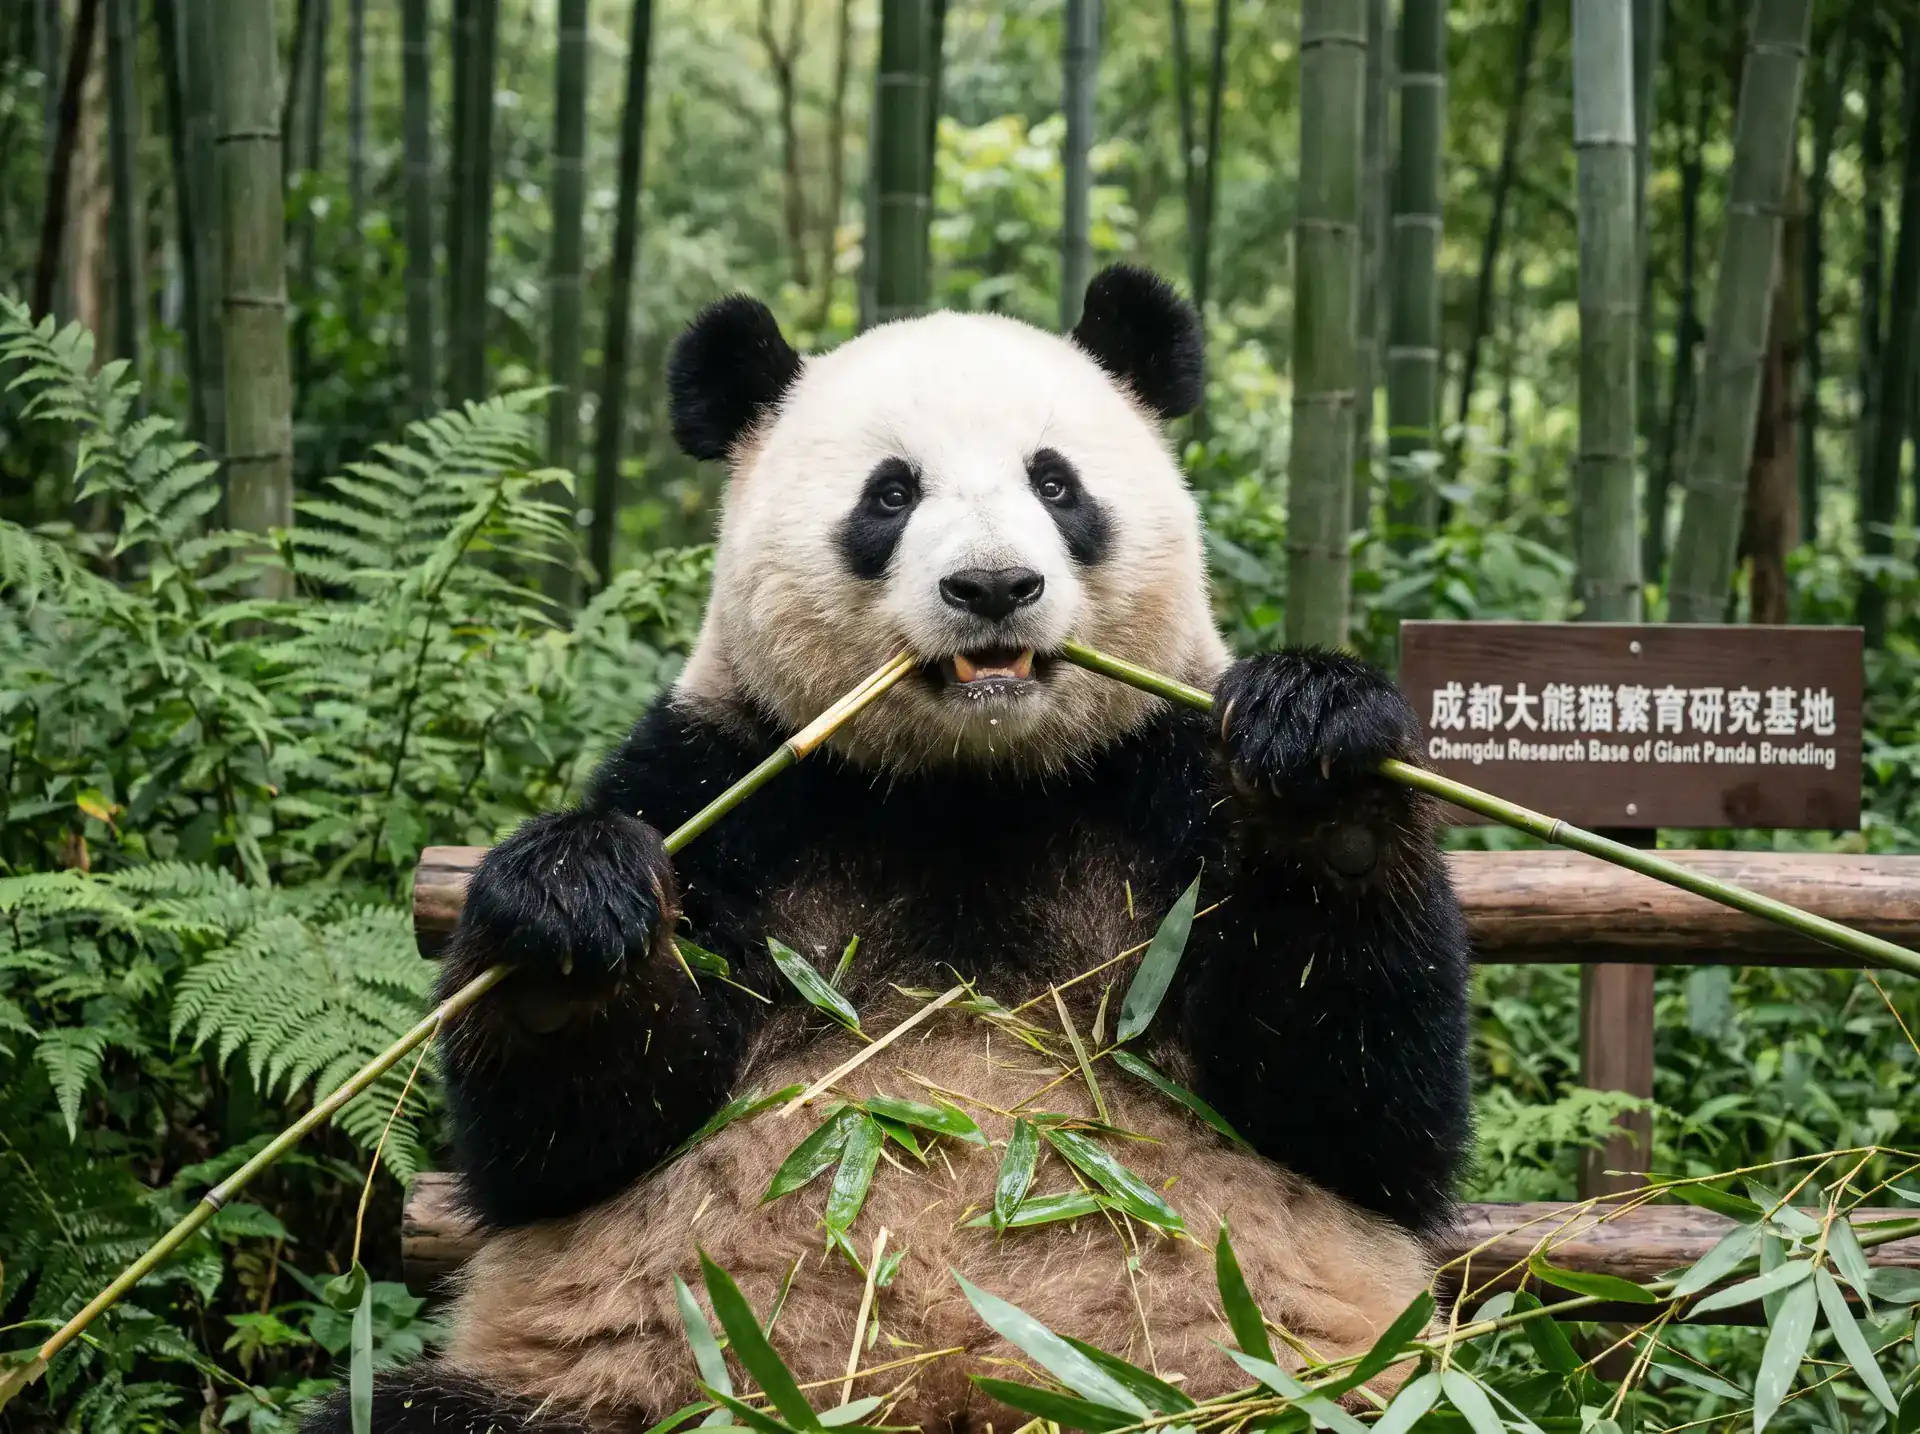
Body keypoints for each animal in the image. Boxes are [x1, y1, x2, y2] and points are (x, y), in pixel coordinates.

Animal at [307, 266, 1473, 1433]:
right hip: (595, 1389)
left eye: (1056, 483)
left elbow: (1358, 1114)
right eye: (890, 495)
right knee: (403, 1410)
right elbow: (565, 1146)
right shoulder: (728, 783)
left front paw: (1324, 772)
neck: (968, 791)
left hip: (1317, 1394)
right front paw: (570, 913)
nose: (994, 587)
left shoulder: (1163, 778)